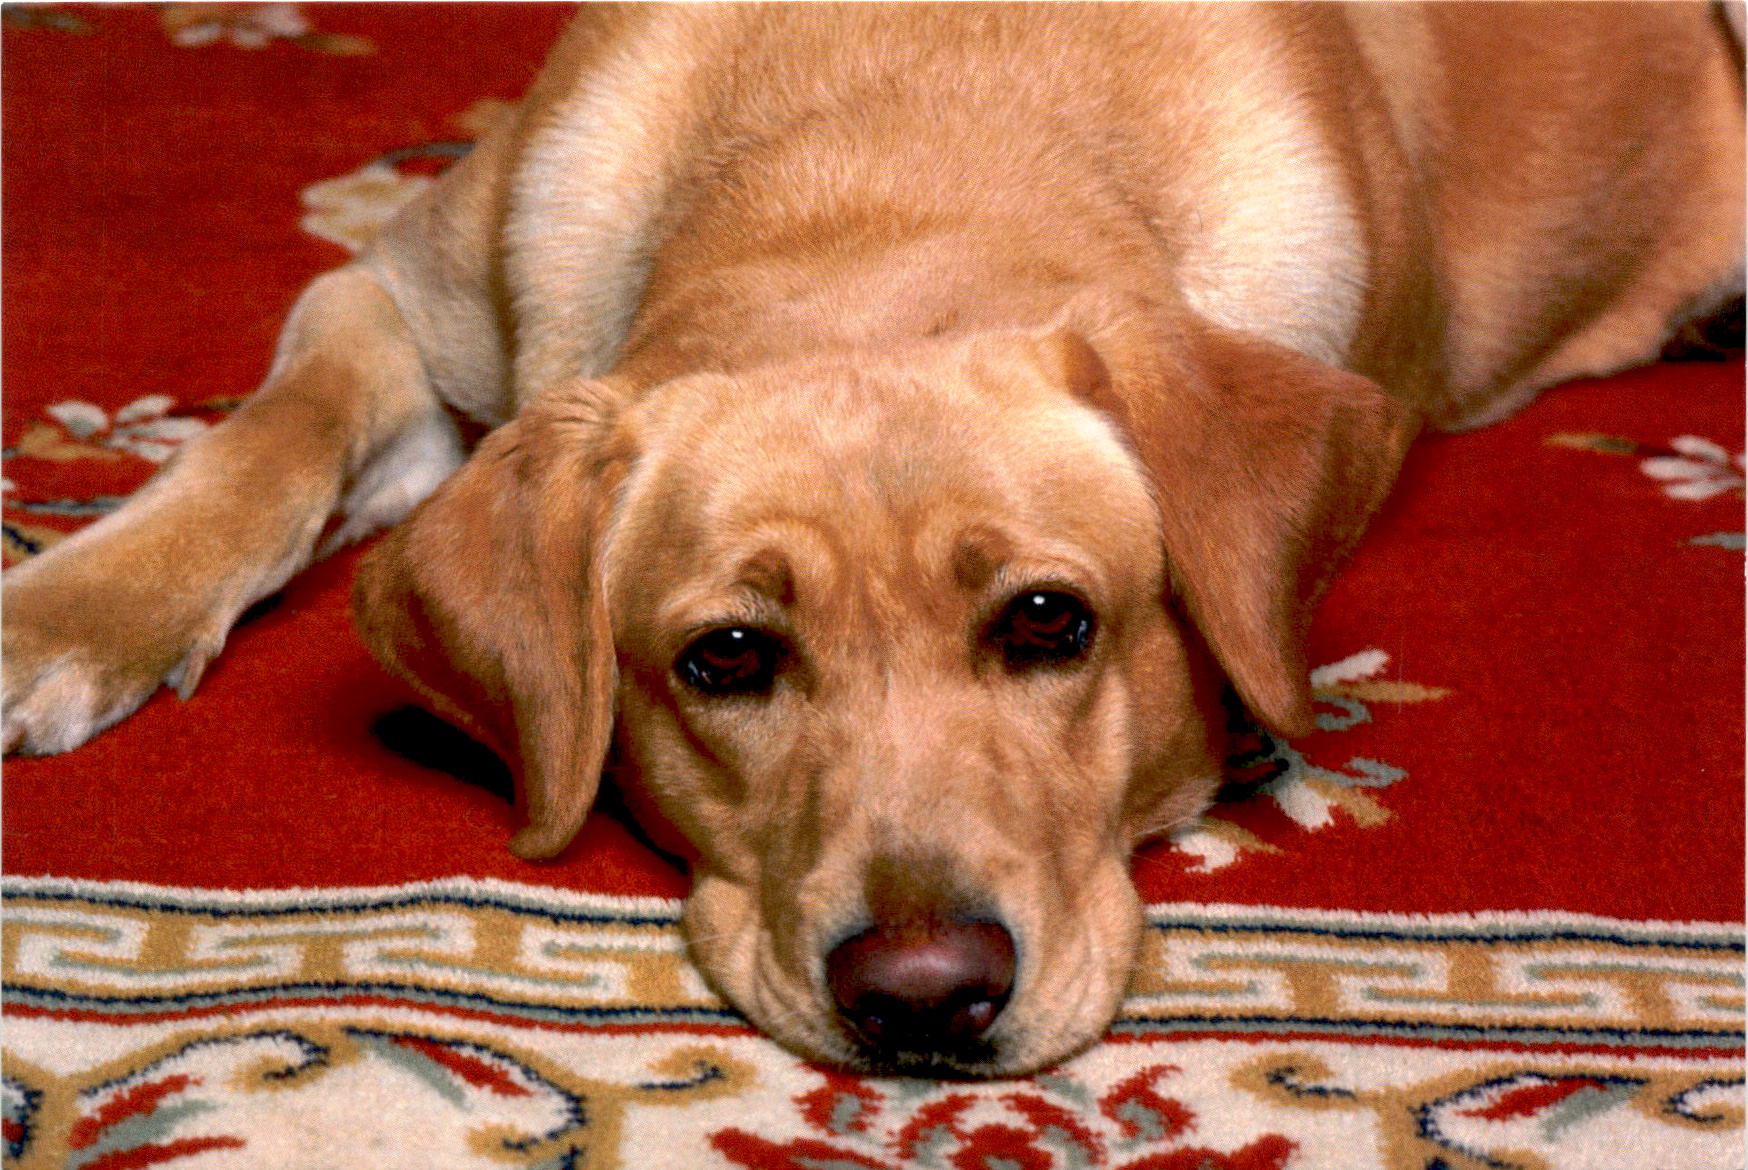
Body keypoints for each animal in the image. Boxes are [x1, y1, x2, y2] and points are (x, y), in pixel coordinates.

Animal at [4, 4, 1742, 1077]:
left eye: (1050, 621)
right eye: (729, 656)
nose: (924, 997)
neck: (902, 133)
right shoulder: (389, 288)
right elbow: (266, 433)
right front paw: (70, 609)